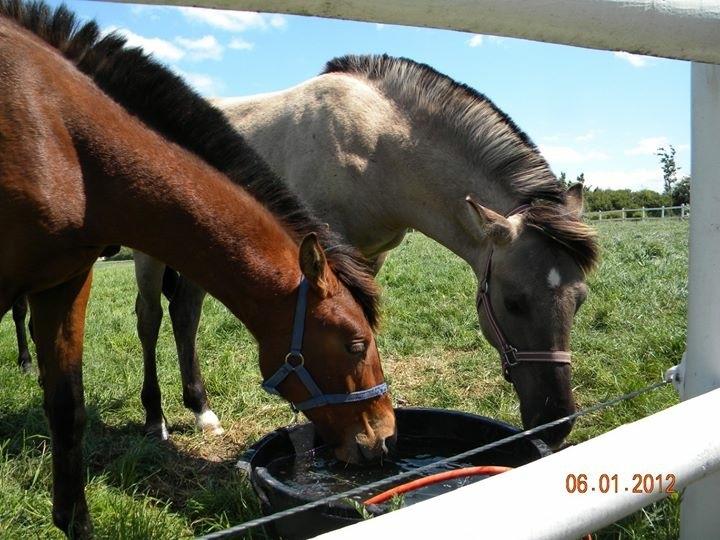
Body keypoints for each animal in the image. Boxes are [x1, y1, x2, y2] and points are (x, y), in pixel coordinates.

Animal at [139, 52, 596, 448]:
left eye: (580, 301)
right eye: (514, 302)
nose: (556, 422)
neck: (377, 143)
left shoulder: (369, 258)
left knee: (185, 314)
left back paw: (202, 411)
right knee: (150, 319)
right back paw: (155, 419)